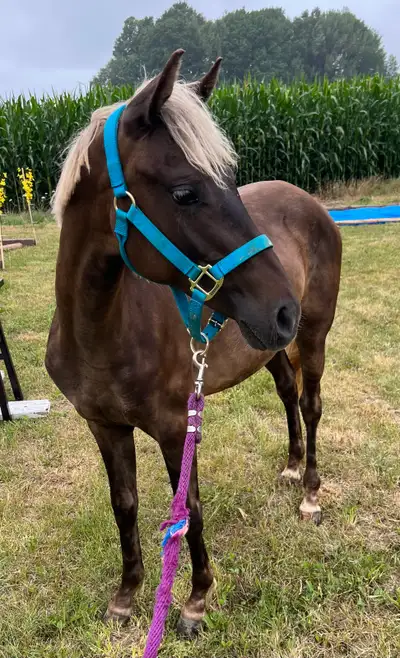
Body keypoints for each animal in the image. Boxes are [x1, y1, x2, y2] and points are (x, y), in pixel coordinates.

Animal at [46, 50, 342, 639]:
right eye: (185, 192)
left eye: (230, 180)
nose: (284, 309)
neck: (100, 329)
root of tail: (312, 204)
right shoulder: (103, 426)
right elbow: (125, 504)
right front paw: (126, 595)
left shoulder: (174, 425)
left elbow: (190, 508)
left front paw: (197, 599)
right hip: (269, 347)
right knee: (288, 393)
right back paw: (291, 466)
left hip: (312, 336)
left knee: (311, 403)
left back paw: (310, 493)